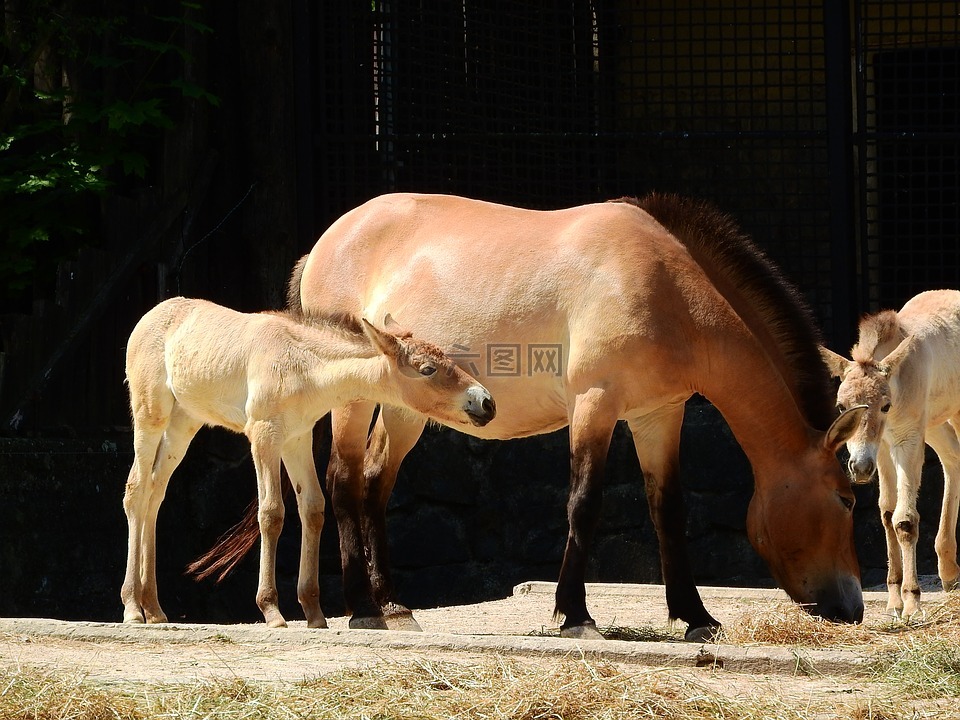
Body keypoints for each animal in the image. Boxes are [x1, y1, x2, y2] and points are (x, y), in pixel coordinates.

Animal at [120, 296, 496, 628]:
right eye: (427, 369)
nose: (486, 403)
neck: (302, 365)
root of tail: (150, 316)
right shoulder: (264, 436)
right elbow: (271, 513)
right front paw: (271, 610)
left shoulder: (297, 438)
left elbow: (313, 509)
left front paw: (314, 613)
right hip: (150, 415)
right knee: (136, 490)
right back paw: (132, 607)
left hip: (184, 424)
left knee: (155, 492)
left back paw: (154, 608)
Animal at [193, 193, 864, 640]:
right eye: (846, 498)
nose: (853, 606)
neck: (665, 287)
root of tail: (328, 240)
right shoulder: (596, 405)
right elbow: (583, 503)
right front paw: (574, 614)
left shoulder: (658, 415)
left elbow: (667, 510)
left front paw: (695, 616)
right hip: (356, 399)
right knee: (342, 480)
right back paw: (361, 607)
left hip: (407, 409)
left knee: (374, 484)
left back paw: (393, 605)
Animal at [820, 290, 960, 616]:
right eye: (841, 406)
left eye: (884, 405)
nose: (858, 468)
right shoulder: (882, 447)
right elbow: (886, 513)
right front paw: (894, 600)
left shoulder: (907, 441)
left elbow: (904, 519)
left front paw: (912, 602)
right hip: (935, 423)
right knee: (953, 460)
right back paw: (949, 573)